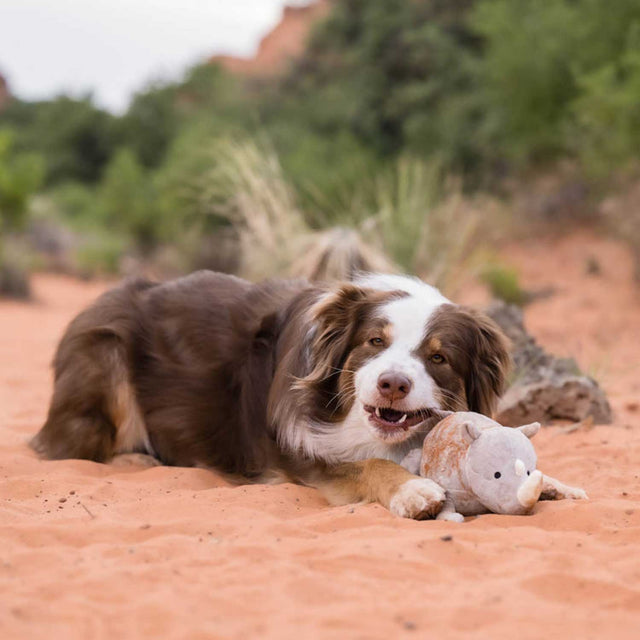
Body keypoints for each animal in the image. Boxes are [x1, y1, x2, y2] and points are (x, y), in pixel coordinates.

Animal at [31, 270, 510, 520]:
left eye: (439, 358)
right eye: (375, 342)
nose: (392, 384)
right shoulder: (300, 452)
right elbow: (365, 465)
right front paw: (413, 491)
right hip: (105, 353)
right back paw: (134, 458)